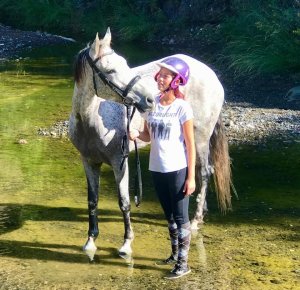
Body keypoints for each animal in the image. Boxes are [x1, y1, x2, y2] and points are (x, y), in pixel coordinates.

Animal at [69, 27, 233, 260]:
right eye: (110, 71)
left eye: (125, 64)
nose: (148, 100)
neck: (89, 120)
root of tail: (211, 74)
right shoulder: (89, 161)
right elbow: (92, 200)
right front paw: (90, 241)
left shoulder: (119, 162)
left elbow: (124, 202)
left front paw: (126, 244)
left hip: (200, 138)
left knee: (204, 172)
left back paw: (195, 221)